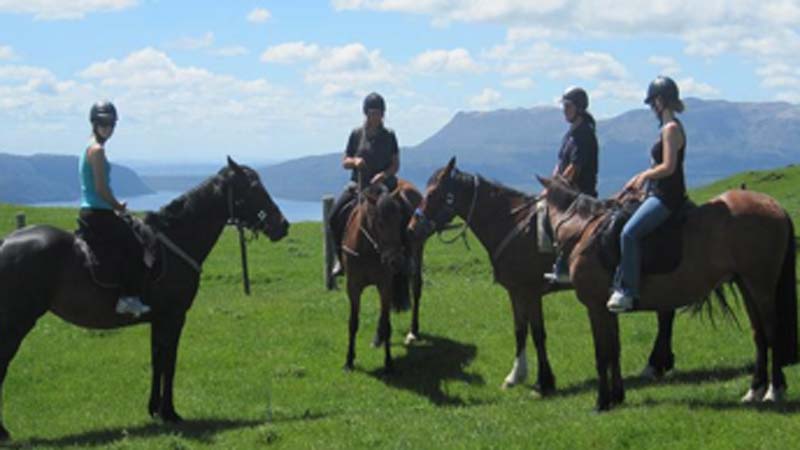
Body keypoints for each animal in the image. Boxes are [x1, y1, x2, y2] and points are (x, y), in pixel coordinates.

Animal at [0, 157, 290, 440]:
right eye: (254, 188)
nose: (283, 225)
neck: (176, 240)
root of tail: (5, 243)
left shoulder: (158, 319)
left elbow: (156, 361)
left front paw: (155, 410)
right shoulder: (174, 317)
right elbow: (169, 363)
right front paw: (170, 412)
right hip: (16, 323)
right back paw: (4, 431)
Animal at [340, 179, 424, 372]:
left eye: (400, 219)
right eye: (379, 222)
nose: (396, 261)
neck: (368, 249)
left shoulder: (384, 285)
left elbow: (386, 324)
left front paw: (388, 363)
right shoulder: (353, 287)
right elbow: (353, 323)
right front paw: (349, 360)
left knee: (416, 288)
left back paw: (413, 331)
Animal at [412, 157, 680, 394]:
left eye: (433, 193)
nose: (413, 227)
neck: (512, 225)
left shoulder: (531, 293)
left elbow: (538, 334)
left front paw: (544, 382)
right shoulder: (515, 292)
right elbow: (520, 331)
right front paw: (515, 376)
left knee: (665, 315)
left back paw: (654, 365)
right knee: (666, 314)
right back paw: (659, 364)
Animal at [536, 174, 796, 410]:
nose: (542, 246)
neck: (585, 231)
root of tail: (773, 205)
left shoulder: (596, 307)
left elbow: (603, 354)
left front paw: (602, 402)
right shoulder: (607, 310)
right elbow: (614, 350)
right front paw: (617, 397)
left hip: (761, 283)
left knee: (771, 331)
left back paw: (773, 390)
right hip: (746, 284)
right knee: (759, 335)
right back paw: (755, 390)